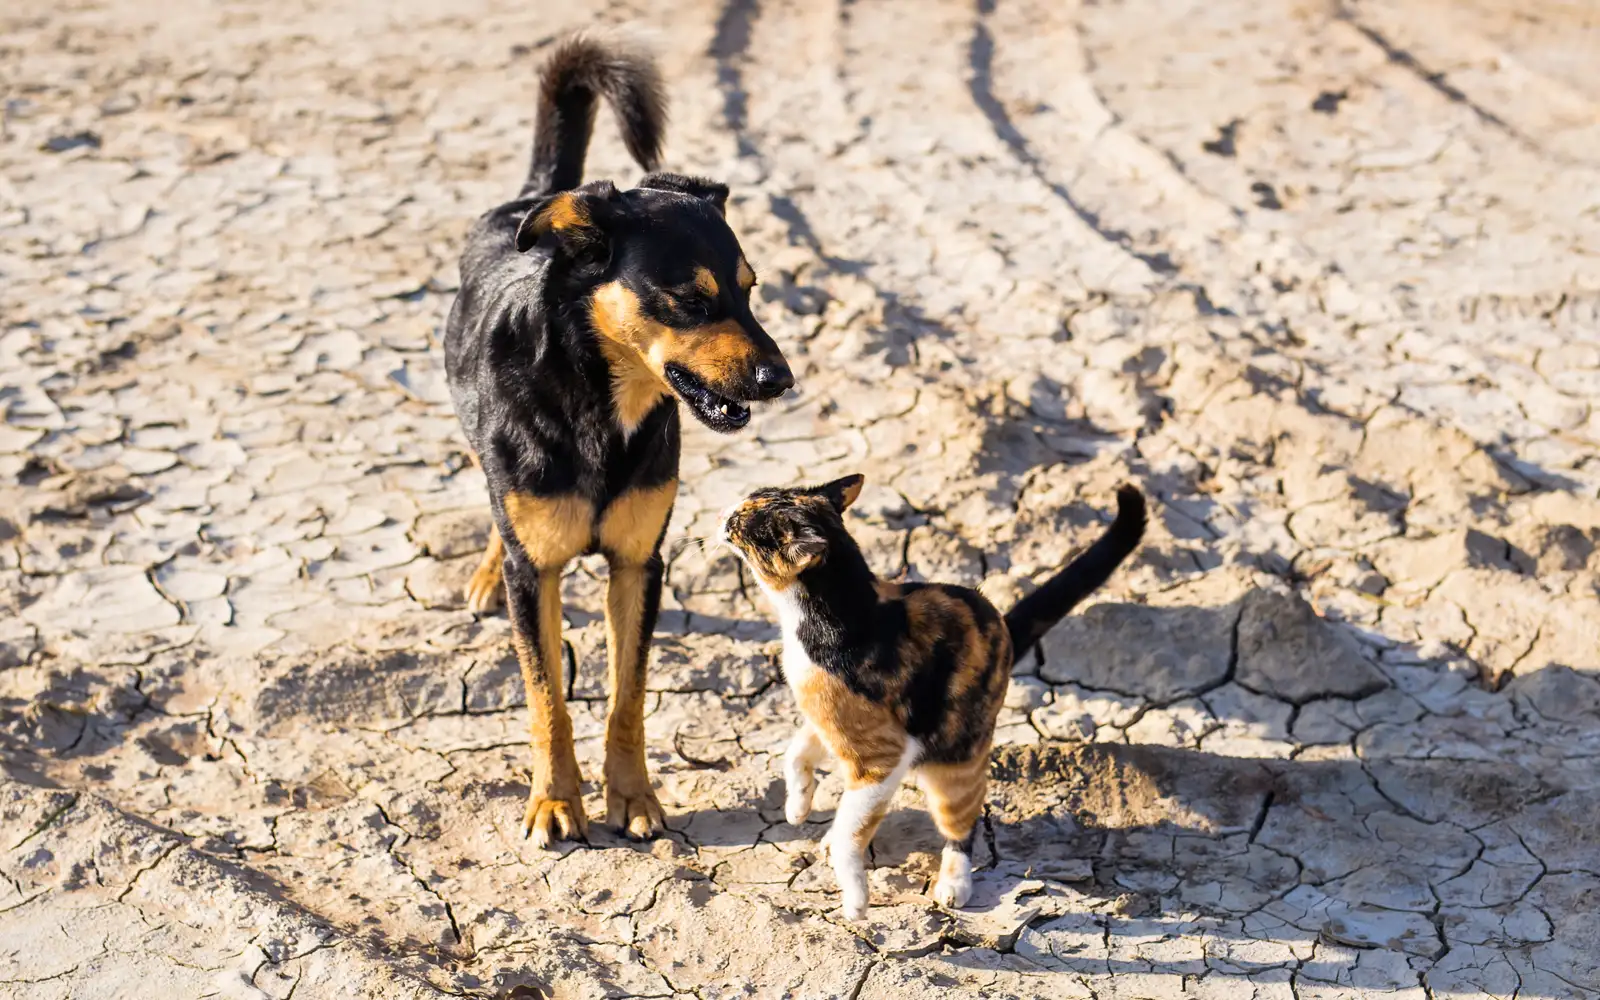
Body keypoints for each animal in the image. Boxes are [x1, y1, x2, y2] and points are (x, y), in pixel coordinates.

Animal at [444, 33, 793, 844]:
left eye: (750, 290)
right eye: (691, 298)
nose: (781, 378)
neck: (601, 406)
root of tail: (531, 199)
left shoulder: (640, 564)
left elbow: (627, 695)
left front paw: (632, 796)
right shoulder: (536, 576)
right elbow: (546, 699)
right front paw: (555, 801)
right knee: (496, 502)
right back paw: (486, 568)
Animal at [720, 476, 1145, 921]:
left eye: (749, 525)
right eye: (751, 500)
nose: (726, 514)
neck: (845, 608)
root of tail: (1006, 631)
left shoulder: (882, 757)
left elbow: (852, 830)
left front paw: (855, 900)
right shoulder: (828, 719)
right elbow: (797, 753)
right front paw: (797, 807)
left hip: (954, 765)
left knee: (963, 825)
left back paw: (954, 884)